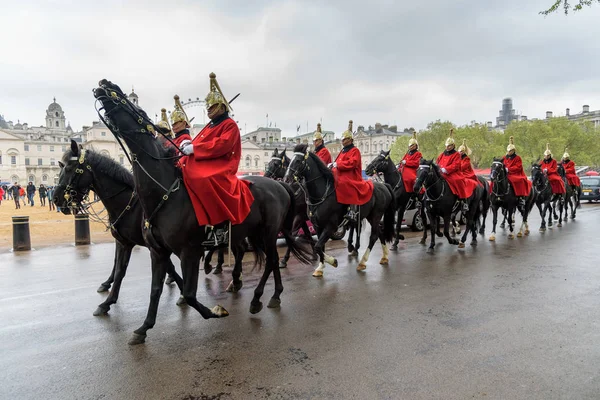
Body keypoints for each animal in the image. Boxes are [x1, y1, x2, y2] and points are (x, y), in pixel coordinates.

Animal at [53, 141, 185, 316]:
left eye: (69, 168)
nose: (56, 199)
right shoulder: (124, 242)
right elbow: (118, 267)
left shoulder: (150, 246)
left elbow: (125, 270)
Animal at [95, 80, 312, 344]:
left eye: (134, 106)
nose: (105, 84)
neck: (165, 193)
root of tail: (280, 184)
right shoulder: (157, 251)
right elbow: (155, 290)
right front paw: (143, 328)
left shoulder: (189, 251)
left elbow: (189, 293)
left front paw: (216, 311)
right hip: (253, 233)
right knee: (264, 259)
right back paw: (266, 295)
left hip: (268, 233)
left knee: (271, 260)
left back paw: (263, 297)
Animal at [284, 145, 396, 278]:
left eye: (298, 161)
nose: (286, 178)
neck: (321, 194)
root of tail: (384, 185)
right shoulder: (317, 225)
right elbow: (319, 246)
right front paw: (320, 267)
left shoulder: (330, 226)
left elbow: (317, 246)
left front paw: (332, 261)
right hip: (371, 217)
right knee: (379, 233)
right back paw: (384, 257)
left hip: (375, 216)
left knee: (373, 236)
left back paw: (362, 262)